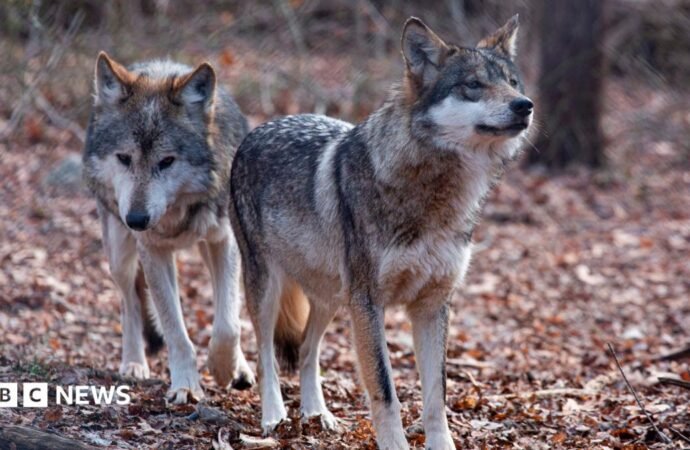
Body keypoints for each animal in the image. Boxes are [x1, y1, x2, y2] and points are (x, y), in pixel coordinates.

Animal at [82, 53, 255, 403]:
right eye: (124, 158)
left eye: (167, 161)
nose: (136, 219)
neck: (177, 214)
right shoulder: (153, 251)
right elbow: (175, 330)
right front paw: (186, 385)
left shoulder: (225, 241)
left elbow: (228, 324)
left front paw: (223, 369)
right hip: (120, 254)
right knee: (130, 303)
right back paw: (134, 363)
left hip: (208, 248)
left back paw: (240, 368)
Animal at [229, 15, 533, 448]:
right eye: (473, 85)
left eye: (512, 82)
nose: (525, 105)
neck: (434, 195)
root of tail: (259, 128)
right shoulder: (369, 303)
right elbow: (386, 391)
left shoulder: (432, 305)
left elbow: (437, 396)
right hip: (270, 289)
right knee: (265, 355)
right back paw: (274, 417)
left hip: (332, 297)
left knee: (306, 350)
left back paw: (317, 414)